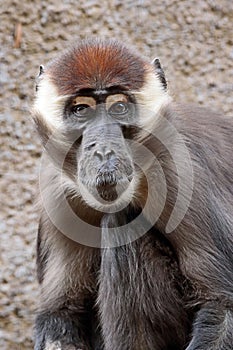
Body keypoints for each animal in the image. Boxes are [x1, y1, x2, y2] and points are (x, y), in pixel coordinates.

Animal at [31, 38, 233, 350]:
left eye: (119, 107)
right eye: (81, 110)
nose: (104, 150)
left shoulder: (180, 169)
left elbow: (222, 305)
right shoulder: (55, 189)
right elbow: (60, 312)